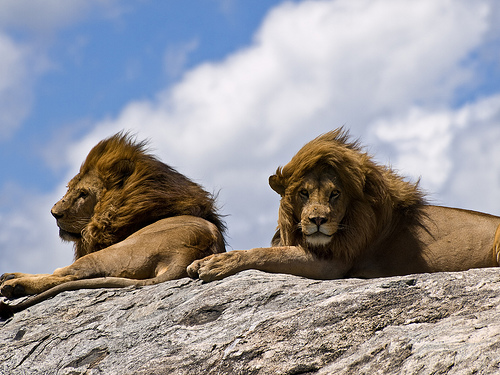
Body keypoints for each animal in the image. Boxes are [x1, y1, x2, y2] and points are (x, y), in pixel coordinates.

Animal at [0, 132, 225, 318]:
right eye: (69, 188)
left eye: (83, 194)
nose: (54, 213)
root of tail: (185, 255)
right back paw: (10, 277)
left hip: (111, 253)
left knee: (67, 275)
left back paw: (14, 284)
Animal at [188, 129, 500, 282]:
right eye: (303, 193)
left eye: (335, 193)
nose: (317, 220)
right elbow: (268, 249)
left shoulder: (334, 263)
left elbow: (263, 253)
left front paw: (214, 263)